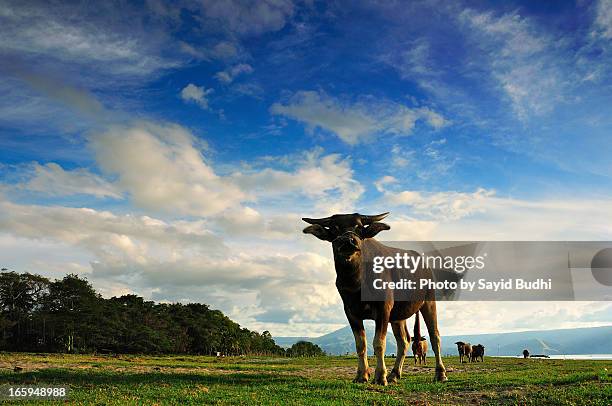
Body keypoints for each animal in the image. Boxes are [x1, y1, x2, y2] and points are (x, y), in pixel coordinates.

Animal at [302, 211, 450, 386]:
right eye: (334, 228)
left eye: (359, 227)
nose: (348, 241)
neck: (356, 283)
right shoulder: (351, 312)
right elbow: (361, 344)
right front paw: (361, 375)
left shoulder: (383, 309)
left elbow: (379, 343)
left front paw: (380, 376)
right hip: (398, 316)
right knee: (404, 341)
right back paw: (394, 375)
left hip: (429, 301)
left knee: (435, 336)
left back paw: (440, 374)